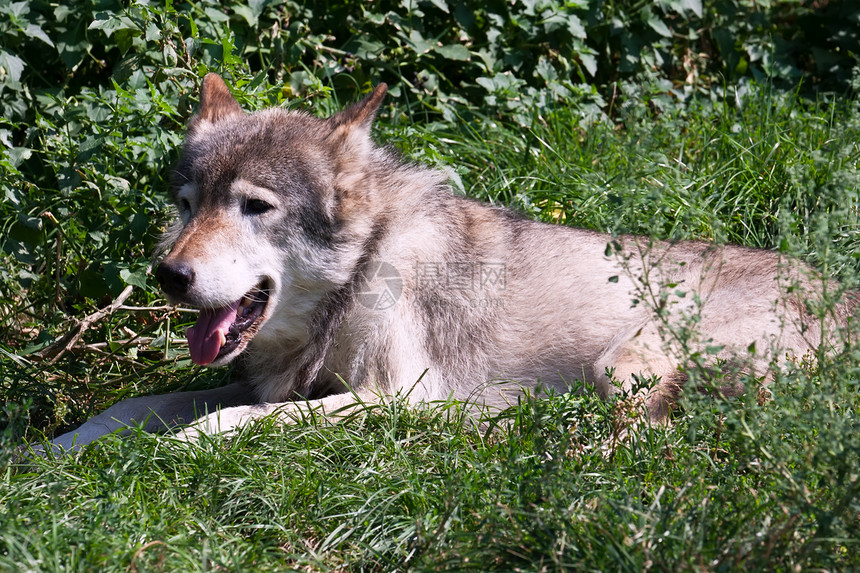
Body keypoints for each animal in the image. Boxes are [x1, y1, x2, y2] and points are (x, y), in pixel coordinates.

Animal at [50, 71, 848, 450]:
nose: (169, 275)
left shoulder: (398, 397)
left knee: (648, 439)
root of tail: (842, 289)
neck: (358, 278)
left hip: (621, 365)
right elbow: (131, 406)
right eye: (188, 204)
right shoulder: (266, 380)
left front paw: (177, 447)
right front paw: (54, 449)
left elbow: (232, 421)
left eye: (255, 207)